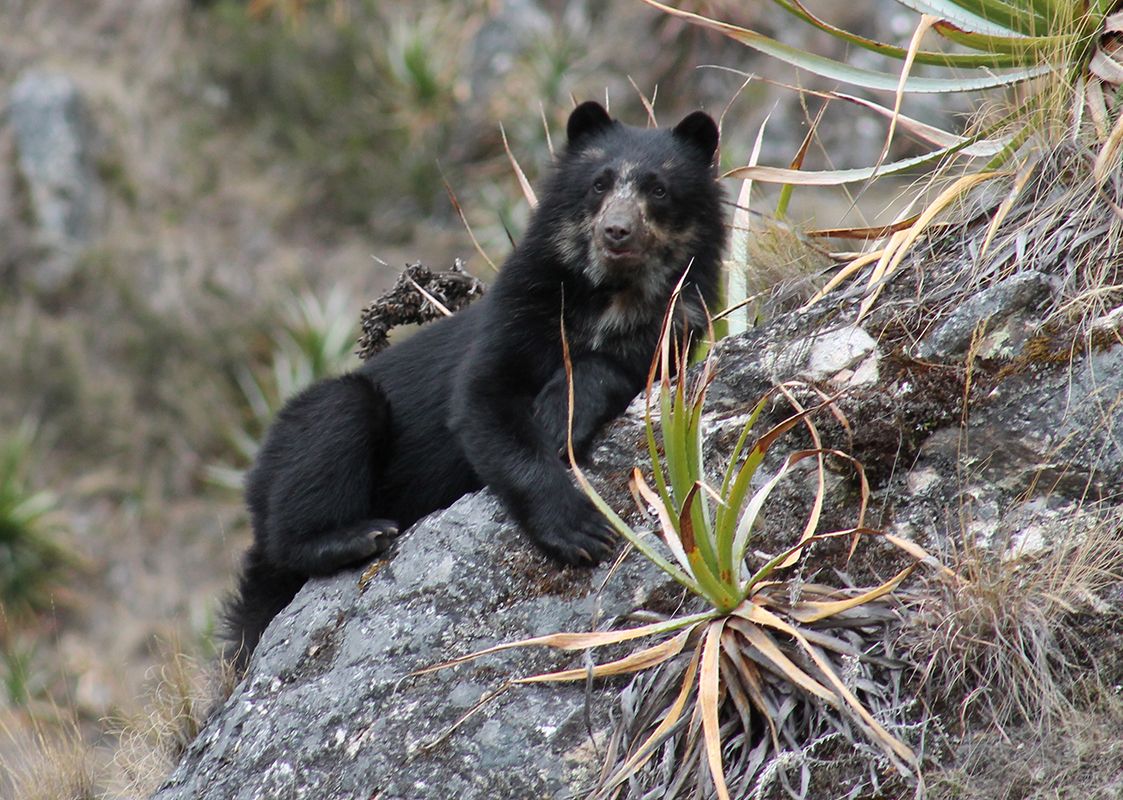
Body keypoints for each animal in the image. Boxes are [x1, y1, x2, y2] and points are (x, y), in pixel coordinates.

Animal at [222, 103, 727, 669]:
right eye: (599, 183)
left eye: (659, 189)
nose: (617, 231)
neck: (609, 296)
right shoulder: (518, 309)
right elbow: (482, 402)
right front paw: (580, 530)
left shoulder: (675, 324)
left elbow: (619, 367)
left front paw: (559, 416)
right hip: (305, 437)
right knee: (323, 451)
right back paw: (358, 535)